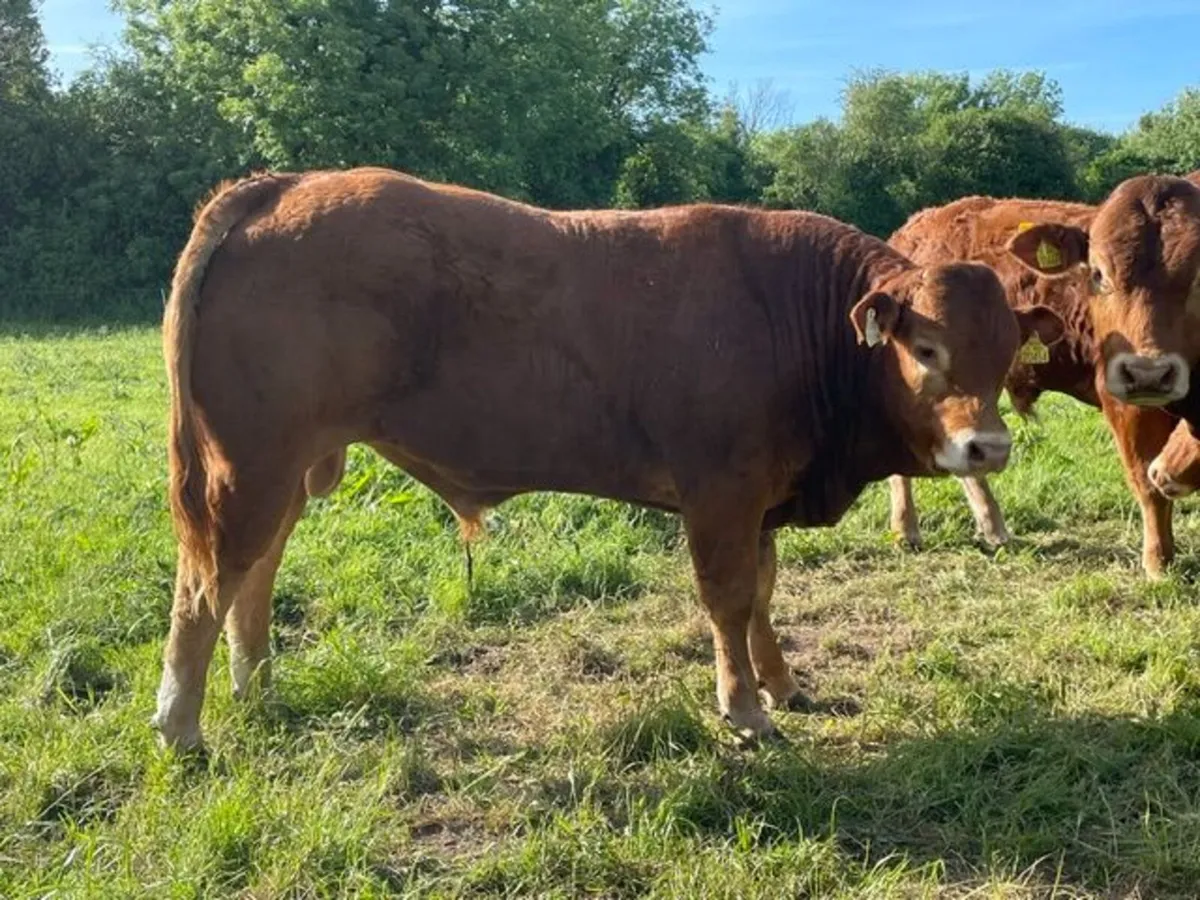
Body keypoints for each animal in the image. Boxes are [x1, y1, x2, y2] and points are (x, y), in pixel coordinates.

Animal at [151, 167, 1063, 750]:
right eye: (926, 347)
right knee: (207, 581)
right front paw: (746, 710)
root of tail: (282, 185)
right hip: (249, 466)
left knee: (254, 572)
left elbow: (763, 595)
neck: (794, 317)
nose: (987, 446)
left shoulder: (761, 499)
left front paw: (782, 683)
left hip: (287, 468)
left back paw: (256, 687)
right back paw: (181, 726)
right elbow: (729, 600)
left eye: (1006, 349)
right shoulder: (721, 495)